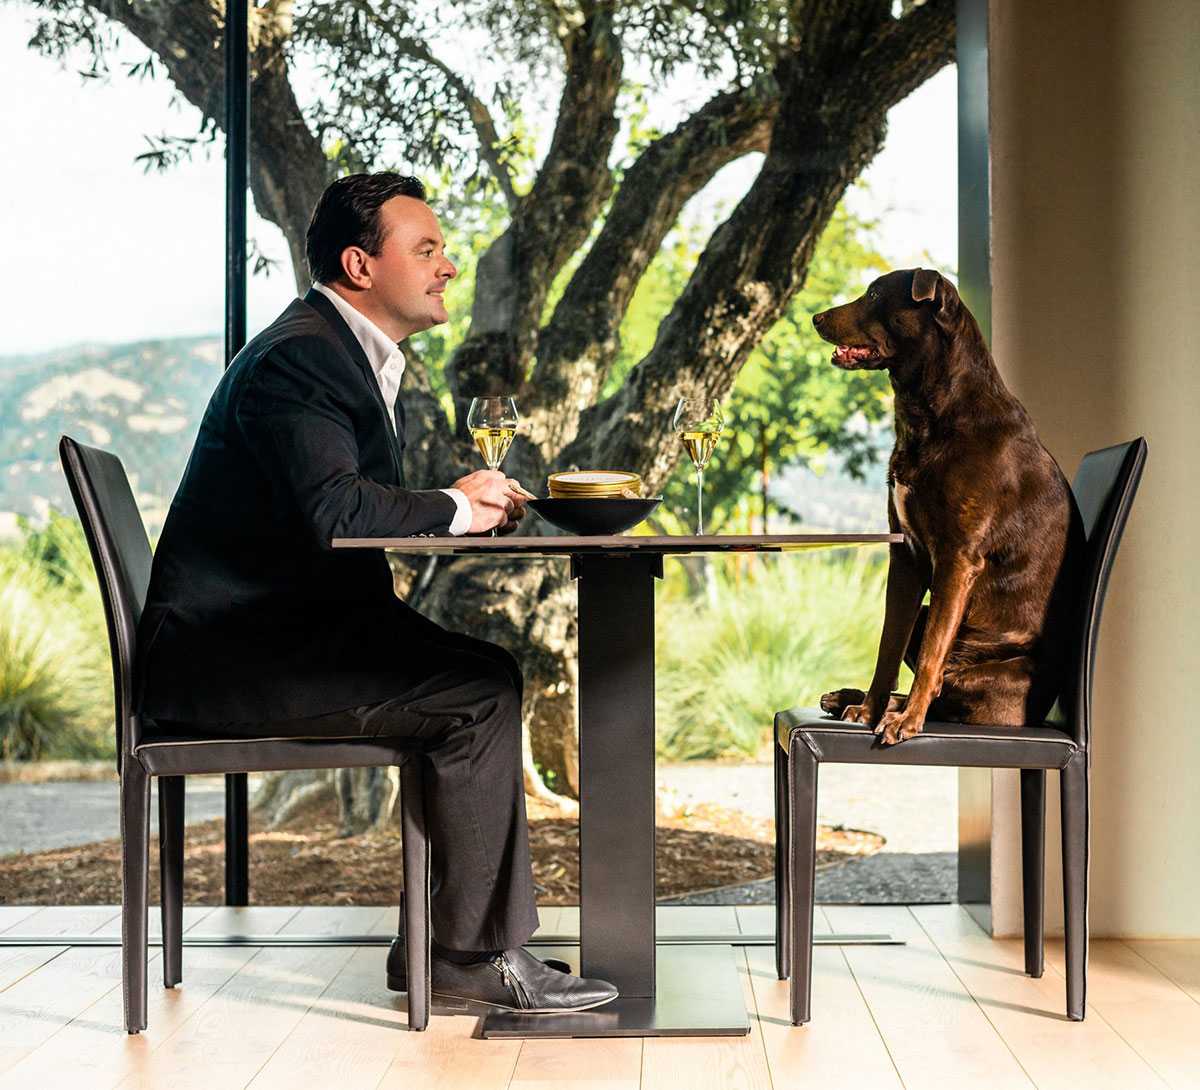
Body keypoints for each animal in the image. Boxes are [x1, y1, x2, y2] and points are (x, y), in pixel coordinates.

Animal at [811, 267, 1084, 744]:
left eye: (874, 294)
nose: (815, 317)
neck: (933, 413)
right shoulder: (905, 554)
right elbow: (888, 644)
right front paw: (869, 710)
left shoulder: (958, 558)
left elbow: (931, 653)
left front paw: (905, 721)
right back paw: (852, 699)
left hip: (989, 677)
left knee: (944, 684)